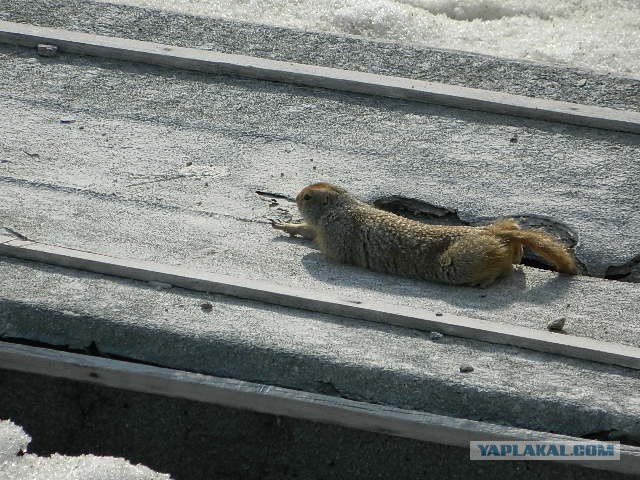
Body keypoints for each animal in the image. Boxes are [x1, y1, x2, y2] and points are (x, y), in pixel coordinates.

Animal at [272, 183, 576, 286]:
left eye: (308, 196)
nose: (296, 196)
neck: (342, 205)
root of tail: (493, 232)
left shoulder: (338, 229)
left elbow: (331, 249)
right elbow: (309, 230)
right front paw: (284, 225)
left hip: (460, 261)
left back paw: (487, 280)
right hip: (502, 230)